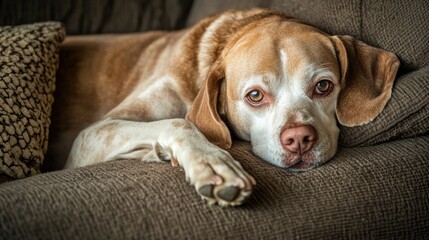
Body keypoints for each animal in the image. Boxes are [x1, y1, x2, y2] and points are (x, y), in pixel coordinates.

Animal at [62, 8, 398, 205]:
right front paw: (213, 164)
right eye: (255, 96)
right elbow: (180, 121)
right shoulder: (92, 135)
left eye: (323, 86)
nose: (299, 139)